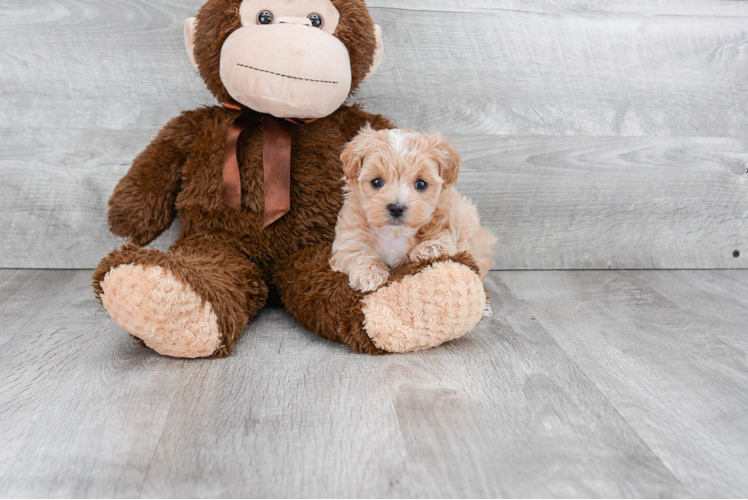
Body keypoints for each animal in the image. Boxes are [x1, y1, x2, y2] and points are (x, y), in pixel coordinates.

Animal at [332, 125, 496, 294]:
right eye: (376, 182)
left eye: (421, 184)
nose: (396, 208)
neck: (395, 233)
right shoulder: (348, 238)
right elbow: (357, 252)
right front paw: (370, 274)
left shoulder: (447, 228)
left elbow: (442, 239)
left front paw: (429, 248)